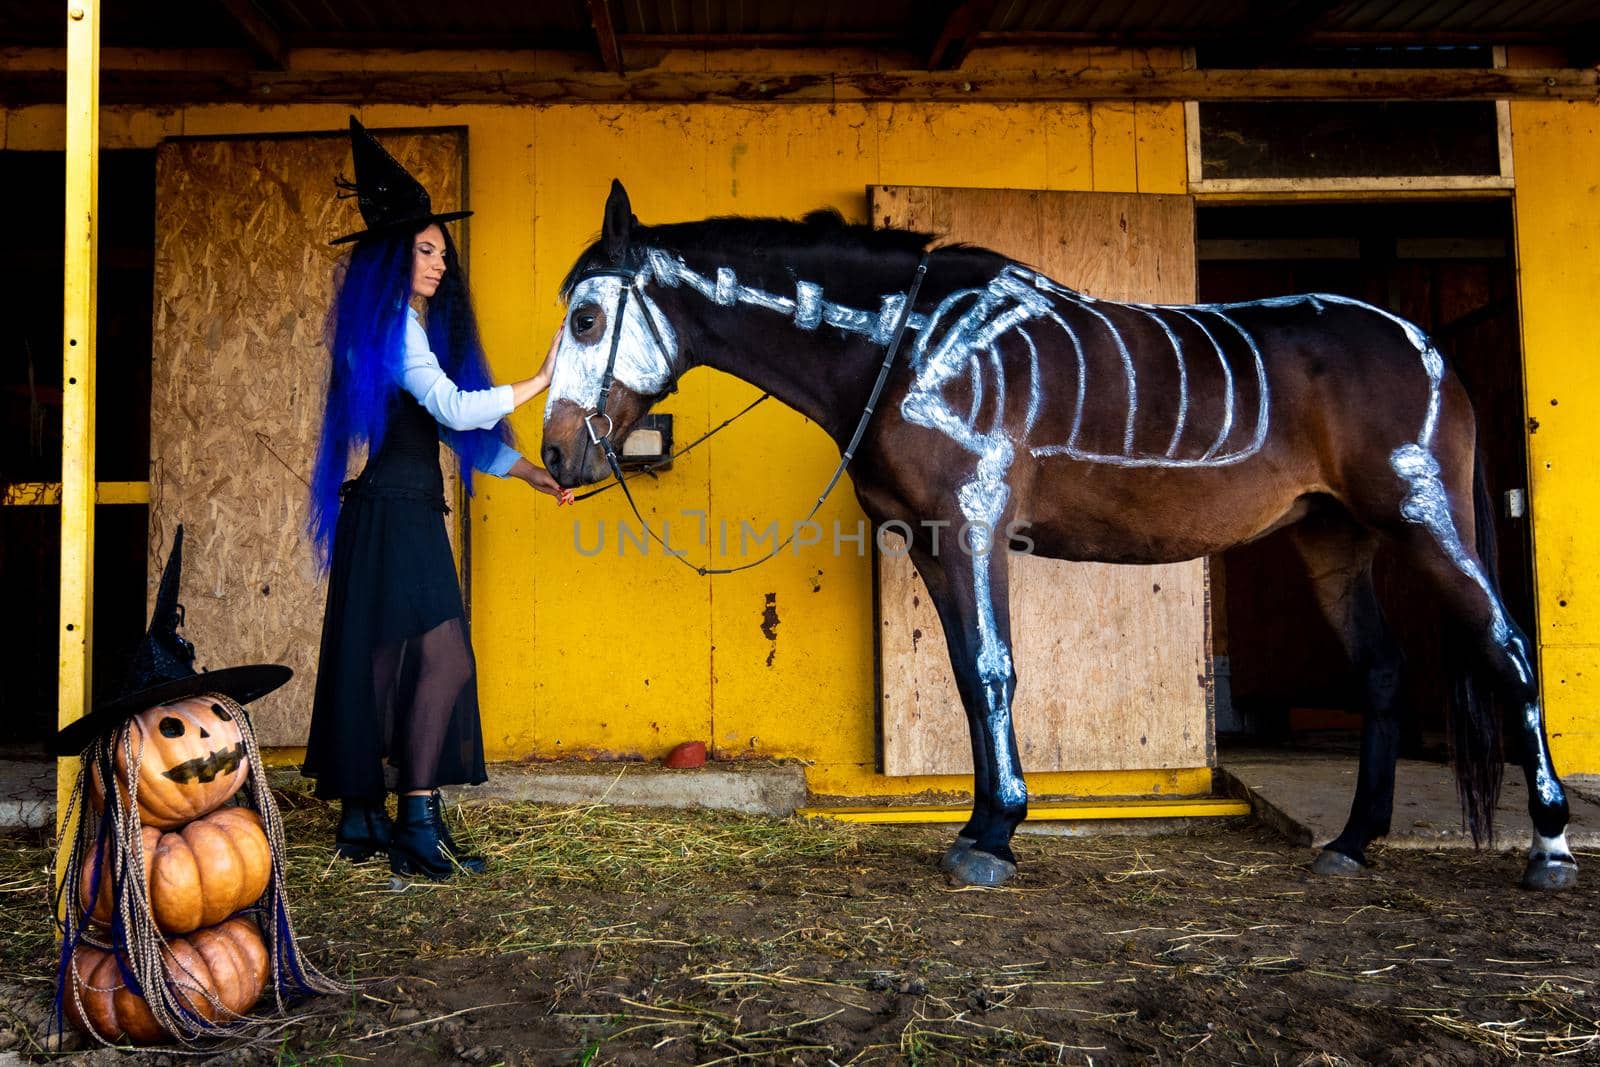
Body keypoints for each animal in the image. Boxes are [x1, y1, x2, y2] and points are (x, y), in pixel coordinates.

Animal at [537, 181, 1574, 895]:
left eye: (587, 317)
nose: (553, 452)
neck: (907, 342)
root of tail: (1427, 346)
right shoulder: (932, 541)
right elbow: (968, 674)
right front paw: (980, 825)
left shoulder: (973, 525)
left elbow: (994, 671)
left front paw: (994, 836)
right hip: (1334, 539)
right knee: (1385, 671)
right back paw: (1353, 844)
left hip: (1425, 519)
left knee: (1510, 650)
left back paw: (1551, 844)